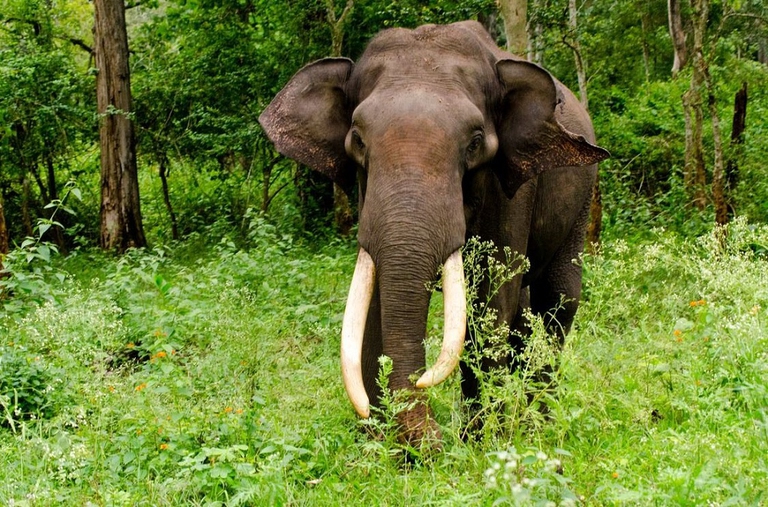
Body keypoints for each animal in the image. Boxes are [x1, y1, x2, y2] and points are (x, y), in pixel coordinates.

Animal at [259, 21, 609, 445]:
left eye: (475, 142)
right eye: (357, 139)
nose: (431, 439)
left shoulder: (514, 188)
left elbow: (489, 304)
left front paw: (481, 443)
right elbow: (377, 303)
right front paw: (379, 445)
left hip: (582, 198)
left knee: (558, 303)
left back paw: (537, 424)